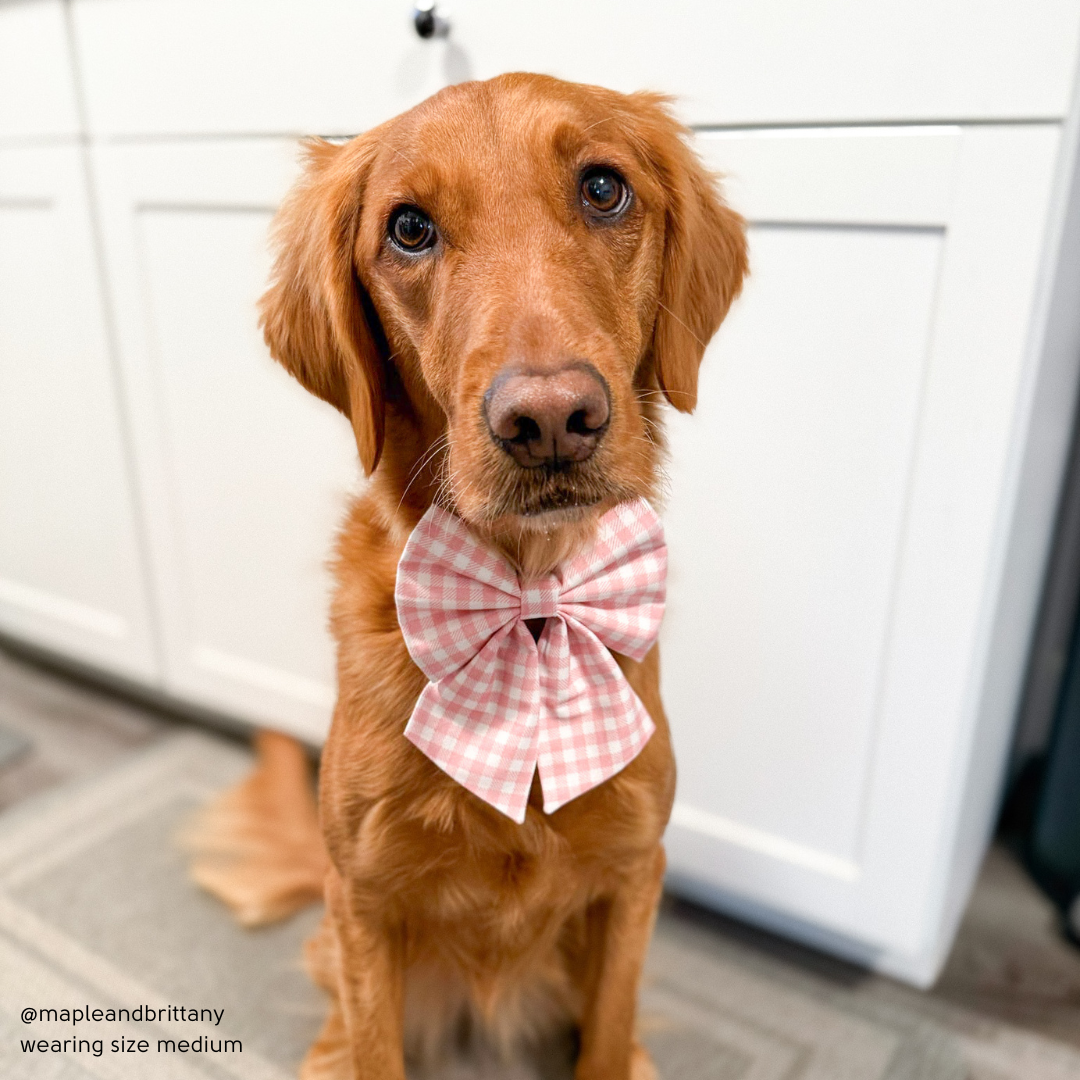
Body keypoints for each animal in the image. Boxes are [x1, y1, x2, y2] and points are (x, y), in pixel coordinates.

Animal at [185, 71, 747, 1075]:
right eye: (409, 228)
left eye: (604, 188)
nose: (552, 419)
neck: (528, 597)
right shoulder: (364, 895)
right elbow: (375, 1047)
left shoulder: (634, 871)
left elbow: (609, 1034)